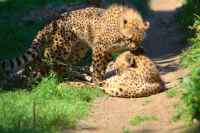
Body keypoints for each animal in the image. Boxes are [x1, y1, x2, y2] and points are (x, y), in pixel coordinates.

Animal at [0, 4, 149, 88]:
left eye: (139, 40)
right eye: (130, 38)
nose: (133, 47)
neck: (120, 29)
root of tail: (48, 23)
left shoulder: (107, 52)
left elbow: (102, 67)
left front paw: (96, 80)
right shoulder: (100, 47)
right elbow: (98, 67)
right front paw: (96, 82)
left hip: (77, 50)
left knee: (60, 67)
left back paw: (67, 80)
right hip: (58, 51)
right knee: (35, 61)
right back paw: (25, 83)